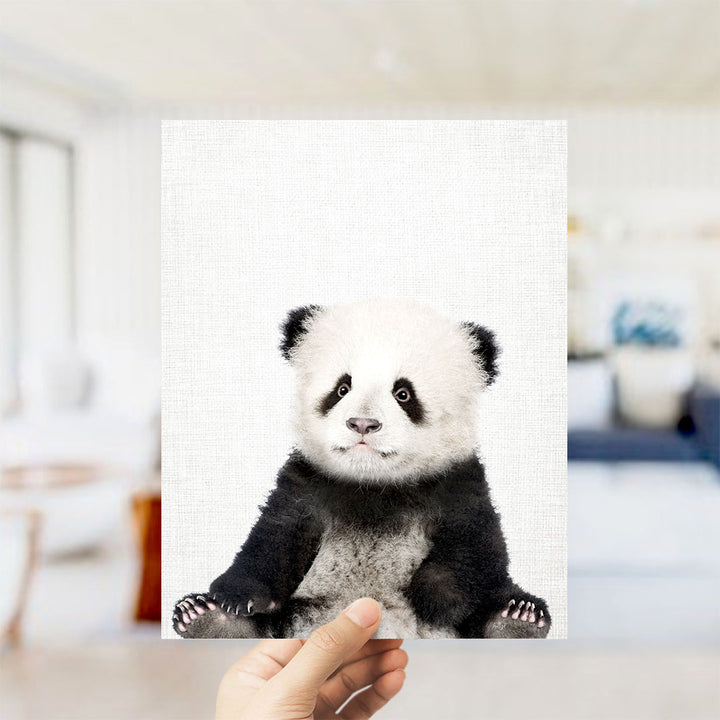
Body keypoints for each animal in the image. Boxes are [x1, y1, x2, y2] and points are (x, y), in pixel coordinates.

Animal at [172, 299, 550, 639]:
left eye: (403, 393)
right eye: (342, 388)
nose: (363, 424)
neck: (372, 484)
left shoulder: (456, 482)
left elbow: (476, 544)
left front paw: (439, 599)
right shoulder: (308, 483)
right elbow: (274, 537)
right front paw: (235, 597)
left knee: (500, 600)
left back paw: (516, 619)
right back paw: (208, 619)